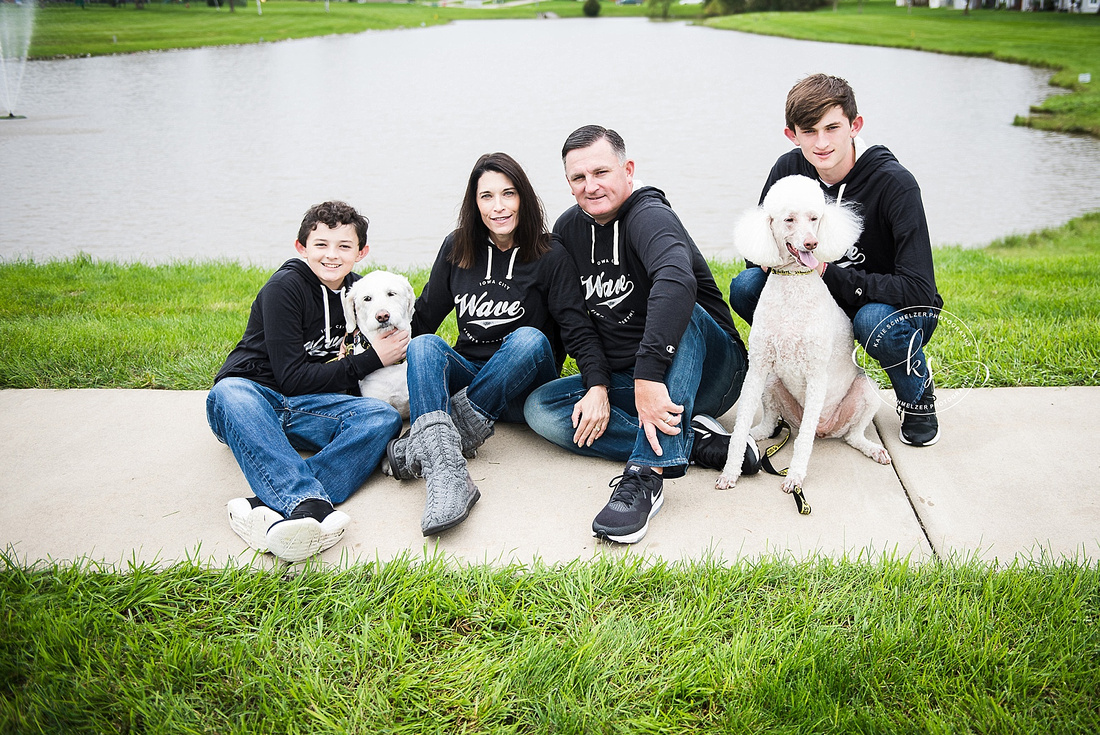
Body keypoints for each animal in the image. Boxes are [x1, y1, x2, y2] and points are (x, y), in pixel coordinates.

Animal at [712, 177, 893, 497]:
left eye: (814, 218)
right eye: (789, 219)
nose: (811, 243)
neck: (792, 286)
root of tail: (827, 430)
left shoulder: (816, 374)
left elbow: (804, 440)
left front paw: (795, 477)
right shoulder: (758, 367)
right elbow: (741, 424)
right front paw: (730, 471)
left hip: (868, 391)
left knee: (851, 435)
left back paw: (871, 448)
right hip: (772, 382)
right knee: (770, 423)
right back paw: (757, 434)